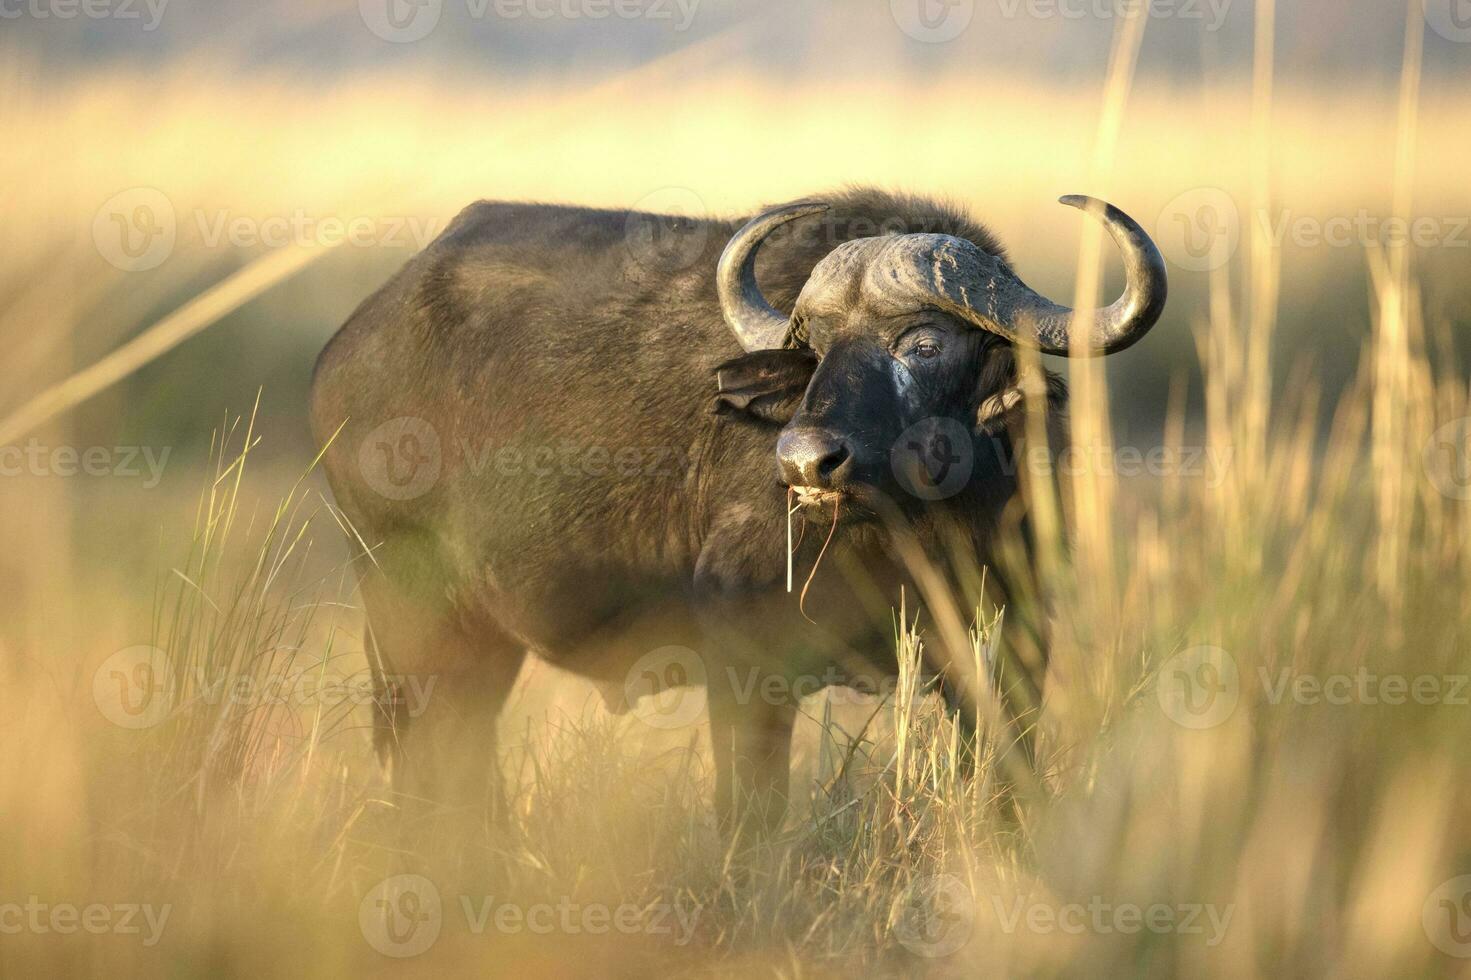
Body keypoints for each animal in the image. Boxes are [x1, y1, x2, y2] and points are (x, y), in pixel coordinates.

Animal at [307, 186, 1159, 829]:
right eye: (813, 348)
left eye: (922, 344)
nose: (804, 461)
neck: (911, 536)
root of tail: (344, 351)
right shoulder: (746, 661)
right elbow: (749, 809)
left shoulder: (1011, 645)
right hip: (408, 621)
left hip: (478, 642)